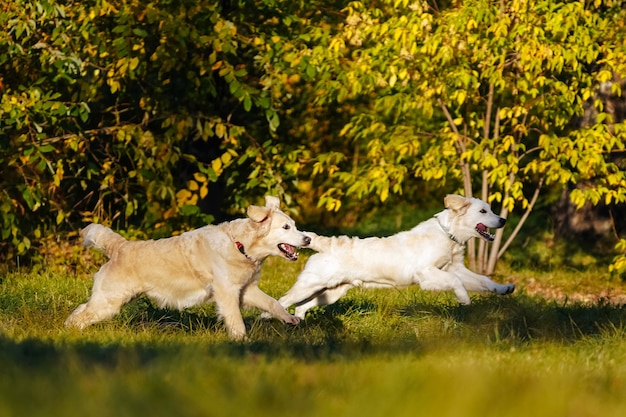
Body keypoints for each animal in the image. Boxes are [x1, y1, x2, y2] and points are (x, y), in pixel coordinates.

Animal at [65, 195, 310, 338]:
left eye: (295, 226)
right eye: (286, 227)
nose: (307, 239)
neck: (240, 245)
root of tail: (121, 246)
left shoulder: (247, 289)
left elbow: (272, 303)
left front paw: (289, 318)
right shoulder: (227, 293)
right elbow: (236, 321)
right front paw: (243, 342)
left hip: (107, 299)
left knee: (79, 310)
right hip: (109, 301)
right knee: (82, 315)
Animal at [276, 193, 512, 316]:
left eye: (491, 209)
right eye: (483, 211)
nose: (503, 220)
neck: (448, 235)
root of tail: (324, 243)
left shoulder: (456, 268)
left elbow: (483, 280)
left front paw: (504, 288)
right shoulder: (426, 272)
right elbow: (456, 282)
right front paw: (464, 298)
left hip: (331, 292)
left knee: (301, 307)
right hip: (309, 284)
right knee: (283, 301)